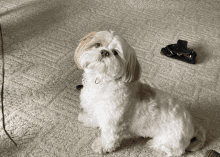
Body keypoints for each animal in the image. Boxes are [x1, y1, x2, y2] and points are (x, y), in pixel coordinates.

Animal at [74, 30, 206, 156]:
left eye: (115, 52)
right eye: (97, 44)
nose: (104, 52)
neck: (102, 81)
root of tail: (192, 126)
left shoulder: (112, 122)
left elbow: (109, 138)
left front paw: (101, 146)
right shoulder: (95, 108)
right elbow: (94, 117)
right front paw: (87, 119)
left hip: (168, 141)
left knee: (174, 151)